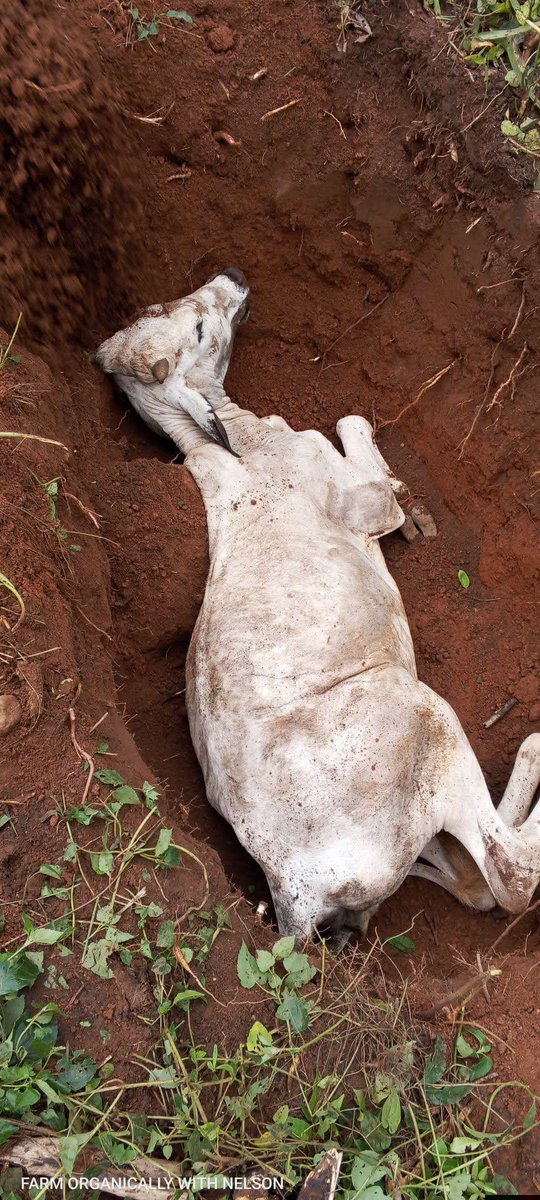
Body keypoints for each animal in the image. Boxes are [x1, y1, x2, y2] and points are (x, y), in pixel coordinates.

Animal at [95, 272, 540, 940]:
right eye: (197, 328)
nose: (232, 278)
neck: (236, 442)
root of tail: (295, 893)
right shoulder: (364, 500)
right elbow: (356, 427)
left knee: (475, 883)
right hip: (426, 719)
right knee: (510, 879)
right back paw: (536, 751)